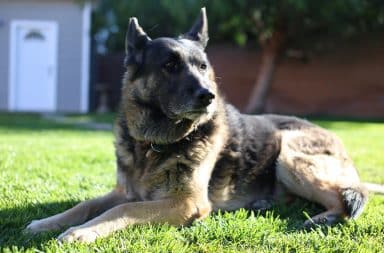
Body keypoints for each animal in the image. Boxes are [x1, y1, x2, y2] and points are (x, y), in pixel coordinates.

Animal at [25, 7, 382, 241]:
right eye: (169, 65)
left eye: (202, 66)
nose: (208, 96)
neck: (155, 144)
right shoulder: (123, 191)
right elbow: (85, 204)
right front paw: (48, 222)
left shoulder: (185, 203)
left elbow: (123, 211)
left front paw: (81, 233)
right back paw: (266, 202)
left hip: (289, 156)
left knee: (350, 198)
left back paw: (319, 219)